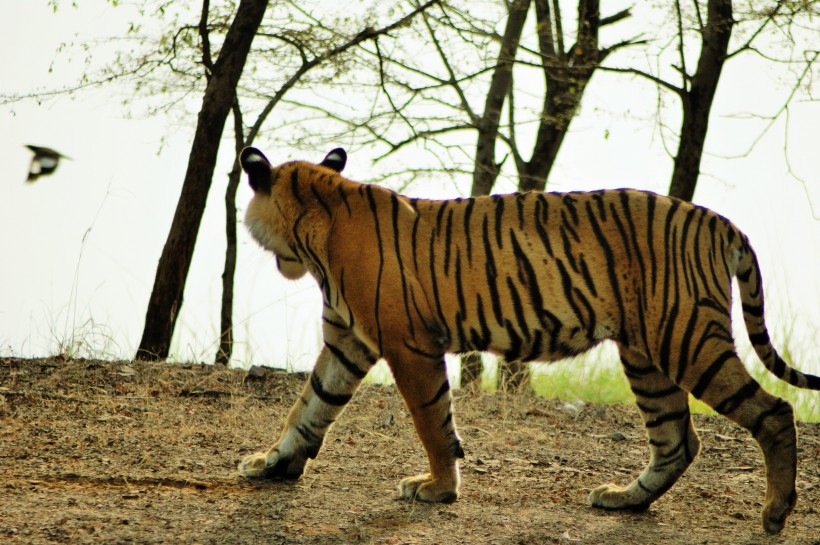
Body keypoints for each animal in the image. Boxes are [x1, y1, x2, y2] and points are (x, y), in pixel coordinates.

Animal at [234, 146, 816, 532]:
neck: (318, 222)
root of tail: (721, 223)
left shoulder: (407, 345)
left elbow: (431, 422)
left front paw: (437, 489)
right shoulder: (346, 342)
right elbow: (309, 405)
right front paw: (273, 464)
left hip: (687, 338)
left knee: (774, 411)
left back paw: (774, 513)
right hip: (646, 354)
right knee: (676, 439)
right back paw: (624, 499)